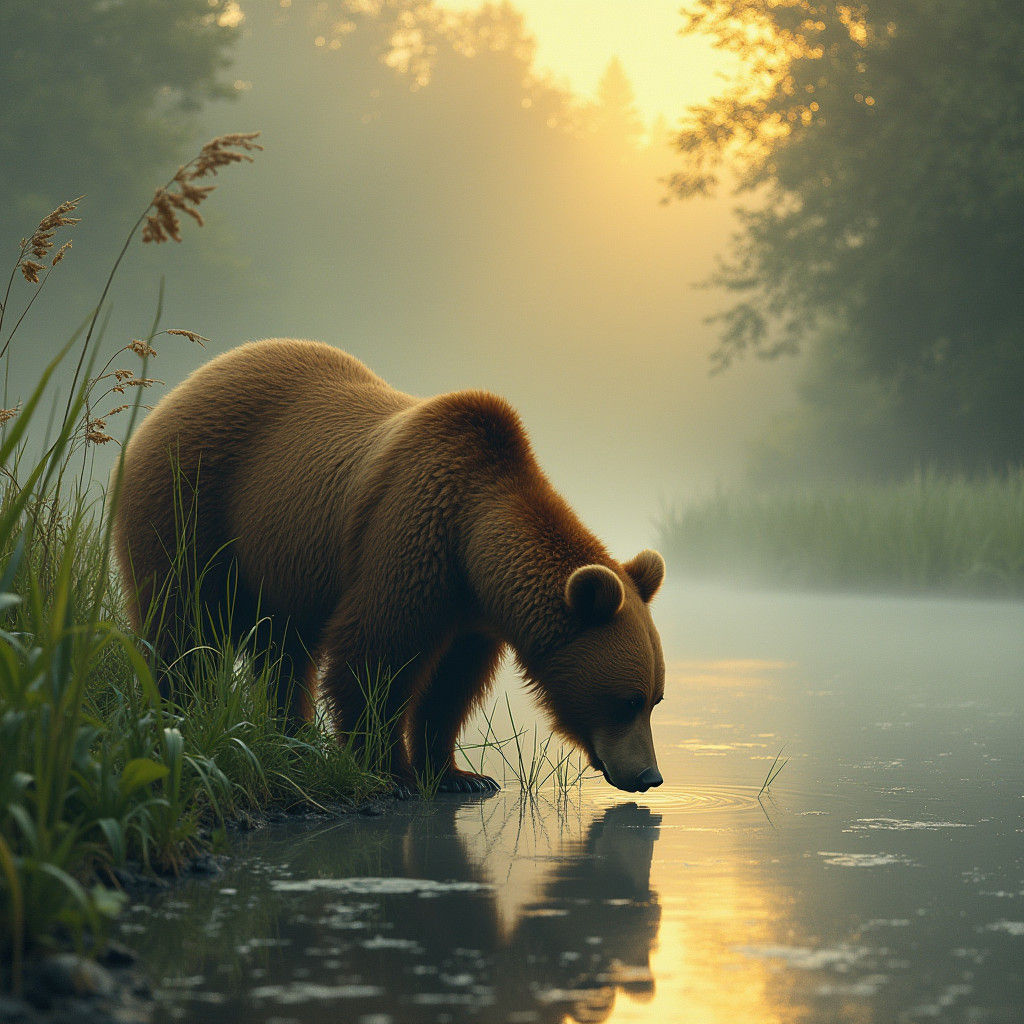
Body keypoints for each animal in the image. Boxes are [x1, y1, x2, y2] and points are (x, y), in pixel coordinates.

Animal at [113, 339, 667, 794]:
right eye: (628, 700)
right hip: (192, 502)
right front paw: (390, 772)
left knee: (284, 652)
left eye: (655, 699)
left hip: (280, 562)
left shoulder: (472, 614)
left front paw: (458, 774)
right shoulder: (412, 533)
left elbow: (452, 685)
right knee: (183, 620)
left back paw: (292, 740)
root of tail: (173, 394)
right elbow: (375, 655)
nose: (649, 776)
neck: (473, 545)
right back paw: (178, 714)